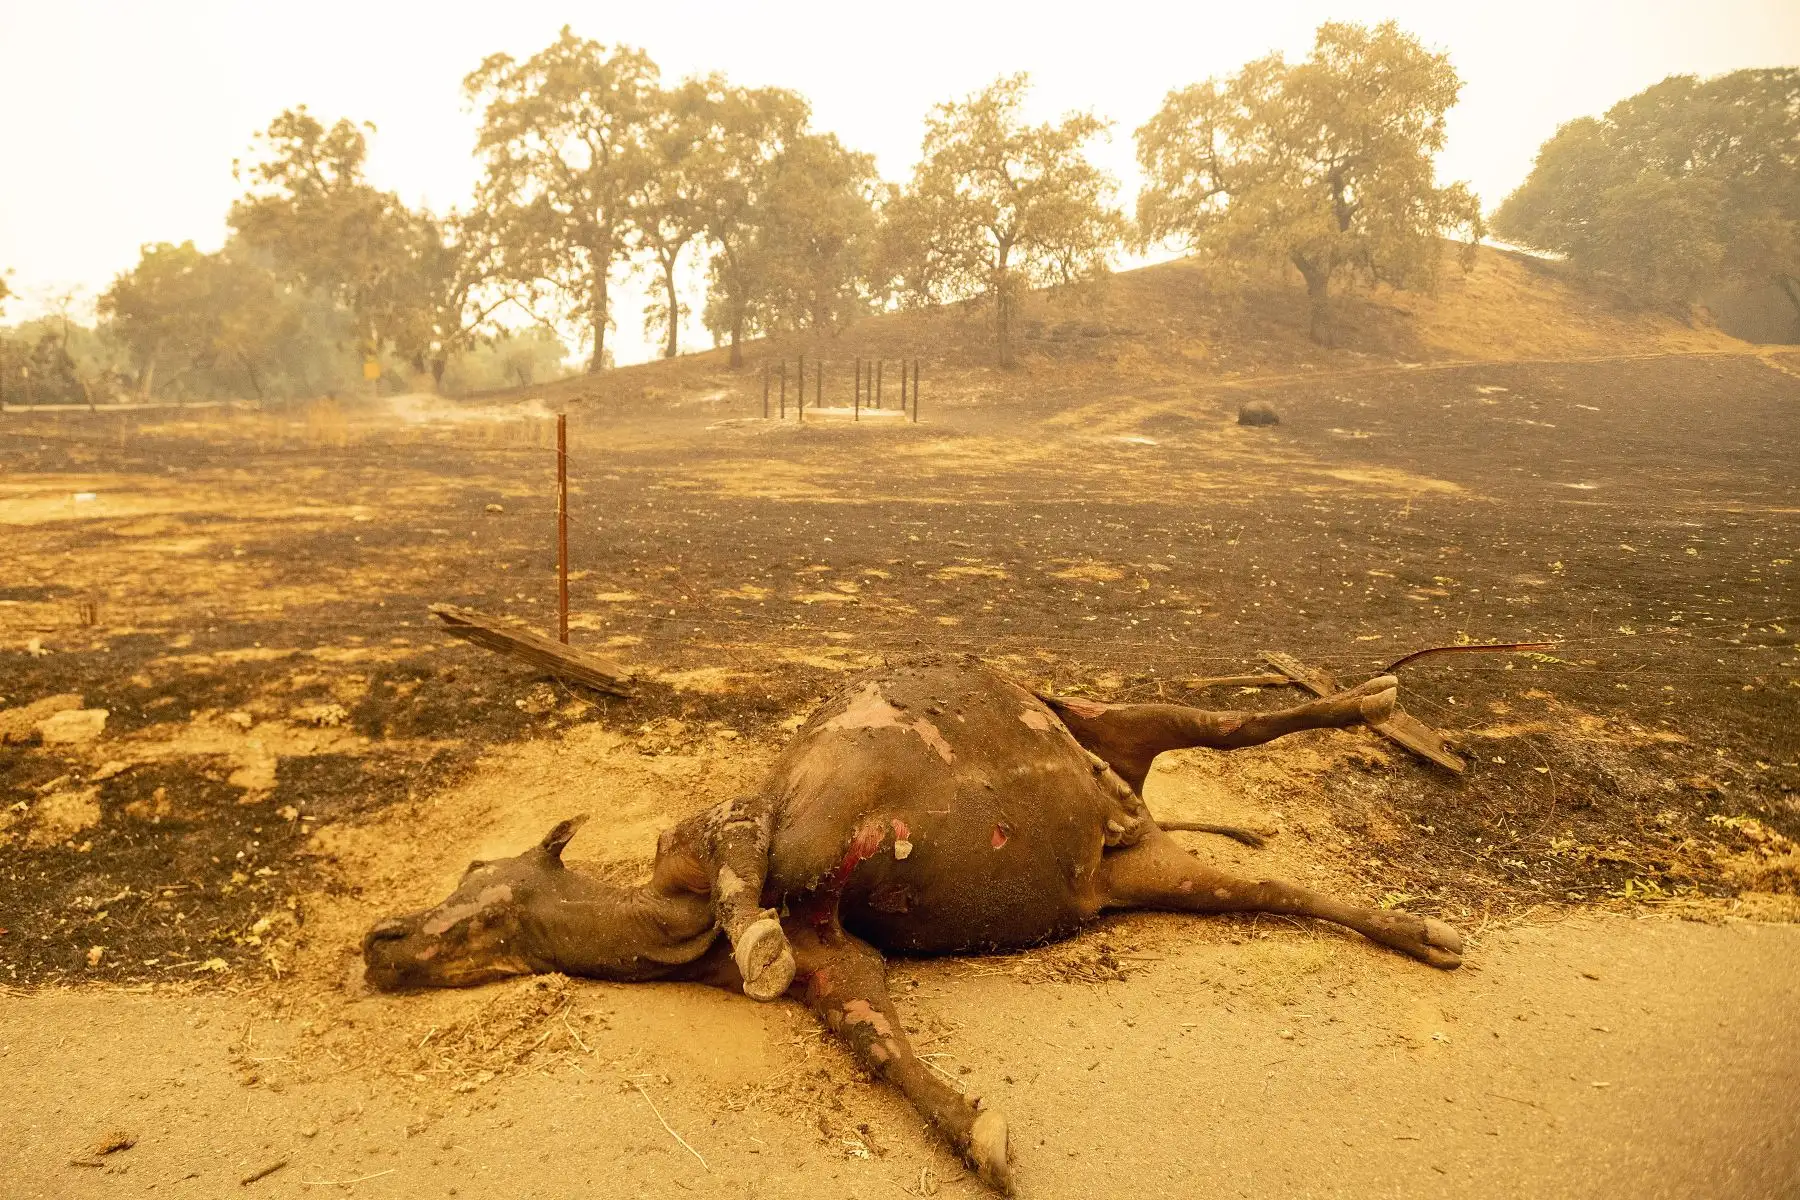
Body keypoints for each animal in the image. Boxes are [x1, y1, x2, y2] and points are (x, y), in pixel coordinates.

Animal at [363, 657, 1462, 1191]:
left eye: (485, 897)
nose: (382, 944)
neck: (672, 924)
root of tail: (1129, 811)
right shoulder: (843, 965)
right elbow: (882, 1049)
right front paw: (986, 1139)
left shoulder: (780, 821)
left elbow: (746, 855)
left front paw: (756, 942)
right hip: (1142, 873)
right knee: (1279, 888)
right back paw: (1426, 935)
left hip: (1107, 717)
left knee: (1233, 724)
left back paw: (1376, 699)